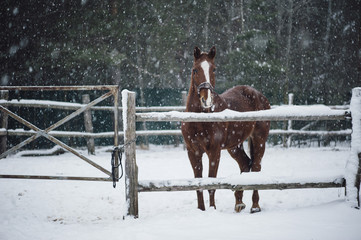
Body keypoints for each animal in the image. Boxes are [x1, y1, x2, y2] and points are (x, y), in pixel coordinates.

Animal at [181, 46, 268, 213]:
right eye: (195, 70)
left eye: (214, 69)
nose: (206, 99)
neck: (201, 119)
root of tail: (257, 94)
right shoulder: (193, 152)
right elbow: (198, 185)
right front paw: (201, 210)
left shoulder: (214, 152)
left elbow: (211, 184)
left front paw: (212, 209)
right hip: (234, 146)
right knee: (245, 164)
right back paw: (239, 203)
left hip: (259, 139)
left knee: (256, 167)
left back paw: (255, 206)